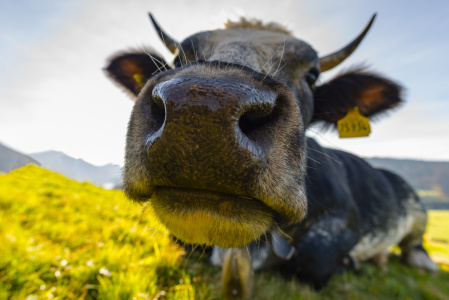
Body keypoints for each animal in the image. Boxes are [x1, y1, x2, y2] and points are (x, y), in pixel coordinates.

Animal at [103, 12, 436, 292]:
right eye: (176, 60)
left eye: (312, 75)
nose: (202, 110)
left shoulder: (345, 218)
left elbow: (310, 262)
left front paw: (348, 262)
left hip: (418, 212)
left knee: (414, 244)